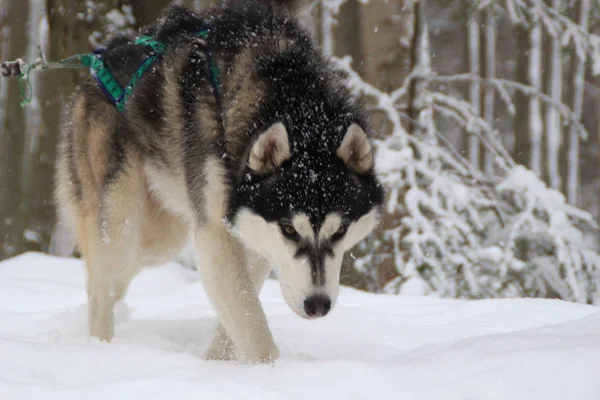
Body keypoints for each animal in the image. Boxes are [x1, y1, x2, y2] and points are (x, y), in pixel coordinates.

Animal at [55, 0, 384, 362]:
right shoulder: (217, 233)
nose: (317, 305)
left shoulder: (252, 231)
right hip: (120, 220)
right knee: (101, 286)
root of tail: (97, 65)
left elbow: (237, 313)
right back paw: (101, 347)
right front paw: (271, 369)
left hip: (159, 238)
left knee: (116, 277)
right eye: (288, 229)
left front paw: (216, 363)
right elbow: (249, 317)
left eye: (340, 230)